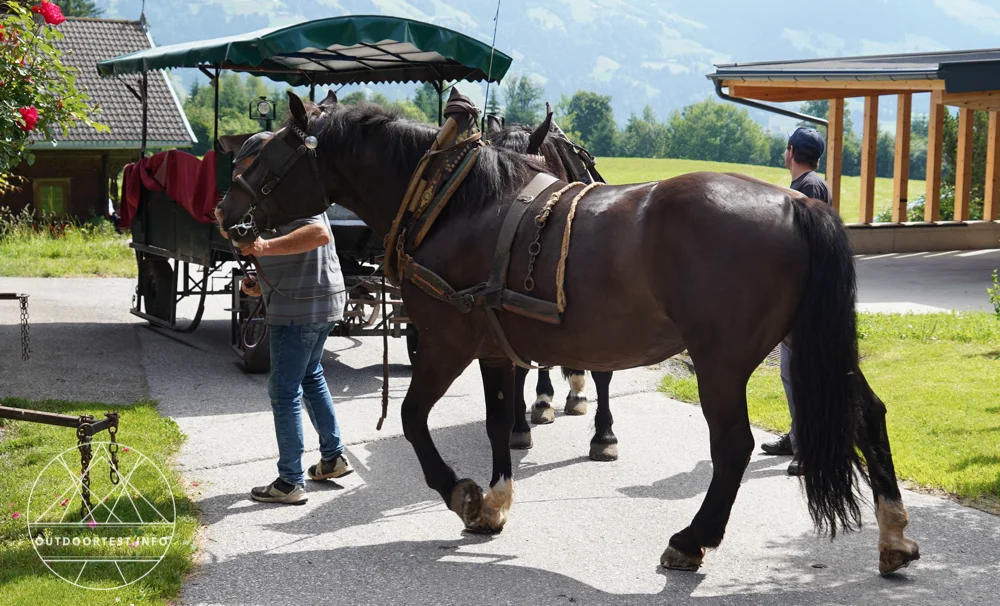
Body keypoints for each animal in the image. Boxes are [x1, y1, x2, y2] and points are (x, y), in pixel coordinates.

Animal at [219, 92, 920, 576]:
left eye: (265, 154)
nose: (227, 214)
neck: (454, 202)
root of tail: (795, 202)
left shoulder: (446, 342)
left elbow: (416, 420)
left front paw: (462, 494)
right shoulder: (494, 349)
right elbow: (498, 423)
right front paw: (495, 502)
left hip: (722, 362)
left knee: (734, 447)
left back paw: (691, 540)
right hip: (806, 343)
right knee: (869, 414)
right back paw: (895, 535)